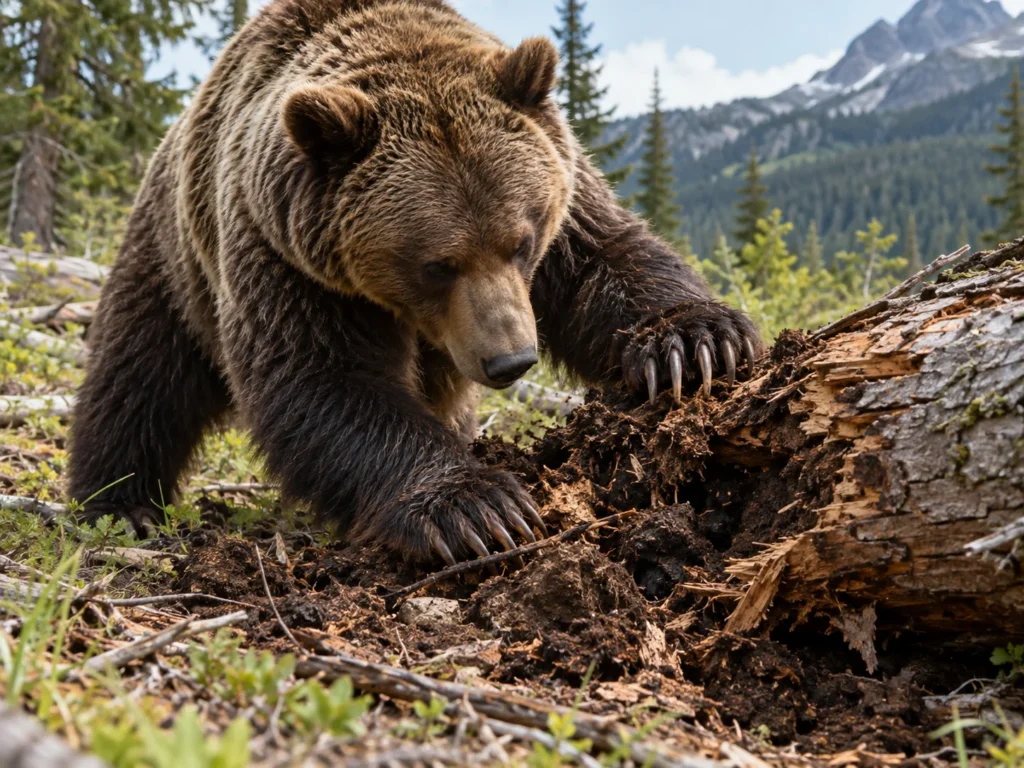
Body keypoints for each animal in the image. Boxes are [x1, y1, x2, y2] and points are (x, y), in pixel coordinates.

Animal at [66, 0, 762, 564]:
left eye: (521, 240)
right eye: (437, 264)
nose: (512, 359)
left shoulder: (565, 204)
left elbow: (607, 261)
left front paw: (696, 344)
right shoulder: (288, 258)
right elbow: (325, 378)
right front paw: (476, 507)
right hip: (173, 256)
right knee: (138, 374)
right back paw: (119, 503)